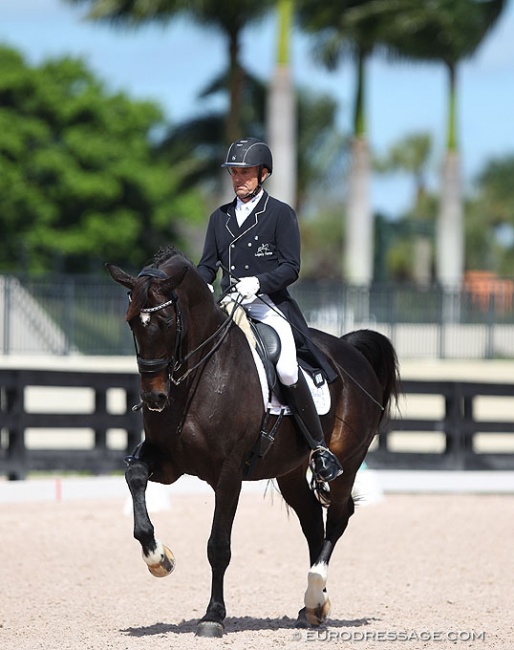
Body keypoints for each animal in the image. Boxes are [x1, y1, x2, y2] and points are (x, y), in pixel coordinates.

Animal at [105, 246, 400, 636]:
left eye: (166, 323)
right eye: (130, 323)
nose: (154, 398)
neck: (199, 375)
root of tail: (350, 350)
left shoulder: (228, 474)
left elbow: (219, 546)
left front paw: (213, 616)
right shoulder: (167, 462)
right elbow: (135, 475)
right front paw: (158, 558)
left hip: (348, 462)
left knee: (337, 517)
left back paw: (315, 594)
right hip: (290, 472)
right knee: (312, 522)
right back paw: (312, 607)